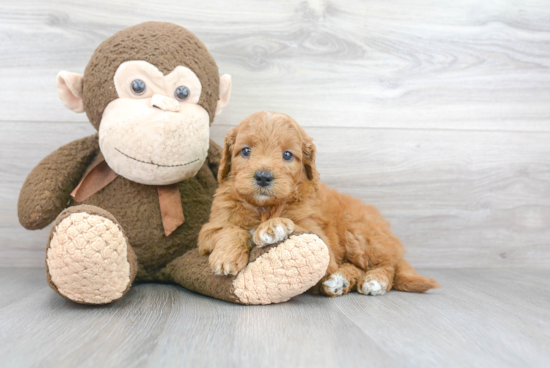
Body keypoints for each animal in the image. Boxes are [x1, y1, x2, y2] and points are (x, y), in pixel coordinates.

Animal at [198, 111, 440, 296]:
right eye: (246, 150)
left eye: (287, 155)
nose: (264, 177)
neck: (266, 208)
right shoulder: (209, 230)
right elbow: (232, 230)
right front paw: (226, 256)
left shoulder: (321, 238)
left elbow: (299, 227)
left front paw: (274, 227)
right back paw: (339, 281)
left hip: (360, 233)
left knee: (386, 266)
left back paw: (375, 281)